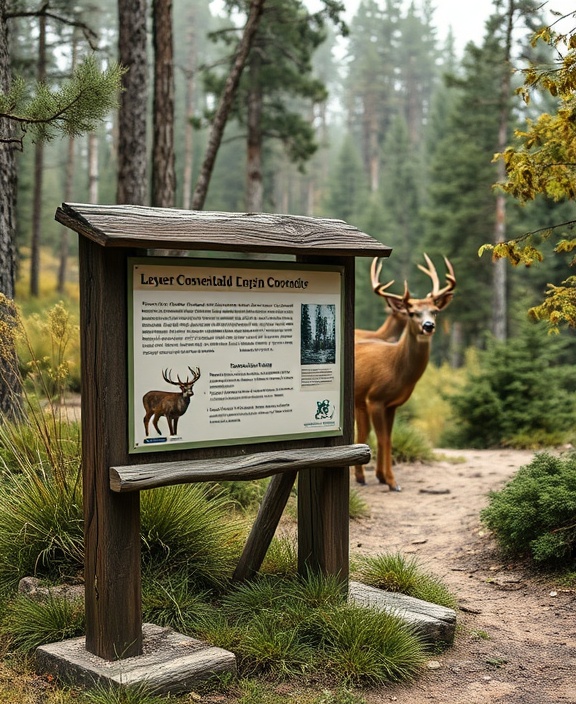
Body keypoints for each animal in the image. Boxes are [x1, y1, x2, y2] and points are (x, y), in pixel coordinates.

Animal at [354, 255, 455, 491]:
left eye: (435, 311)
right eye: (412, 313)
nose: (428, 326)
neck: (396, 368)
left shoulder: (391, 404)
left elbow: (388, 439)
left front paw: (383, 477)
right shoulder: (375, 398)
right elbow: (383, 439)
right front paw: (392, 482)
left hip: (358, 402)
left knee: (360, 434)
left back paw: (361, 477)